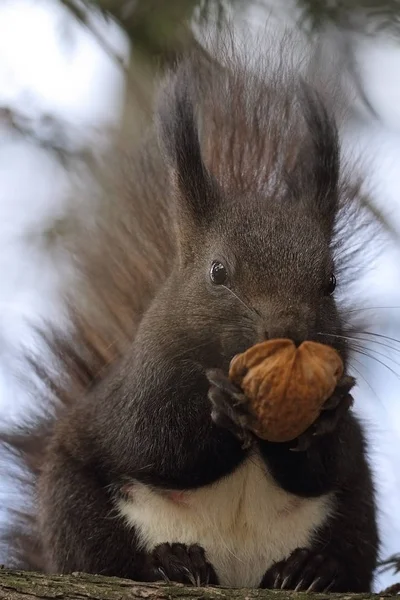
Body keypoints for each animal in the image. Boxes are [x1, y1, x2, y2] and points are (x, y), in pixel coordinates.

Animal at [0, 32, 382, 592]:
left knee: (347, 549)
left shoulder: (345, 458)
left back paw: (310, 570)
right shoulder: (139, 390)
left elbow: (321, 467)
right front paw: (219, 405)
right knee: (105, 555)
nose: (288, 332)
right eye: (217, 272)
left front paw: (327, 412)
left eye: (330, 282)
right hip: (72, 500)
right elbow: (156, 442)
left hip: (358, 508)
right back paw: (170, 562)